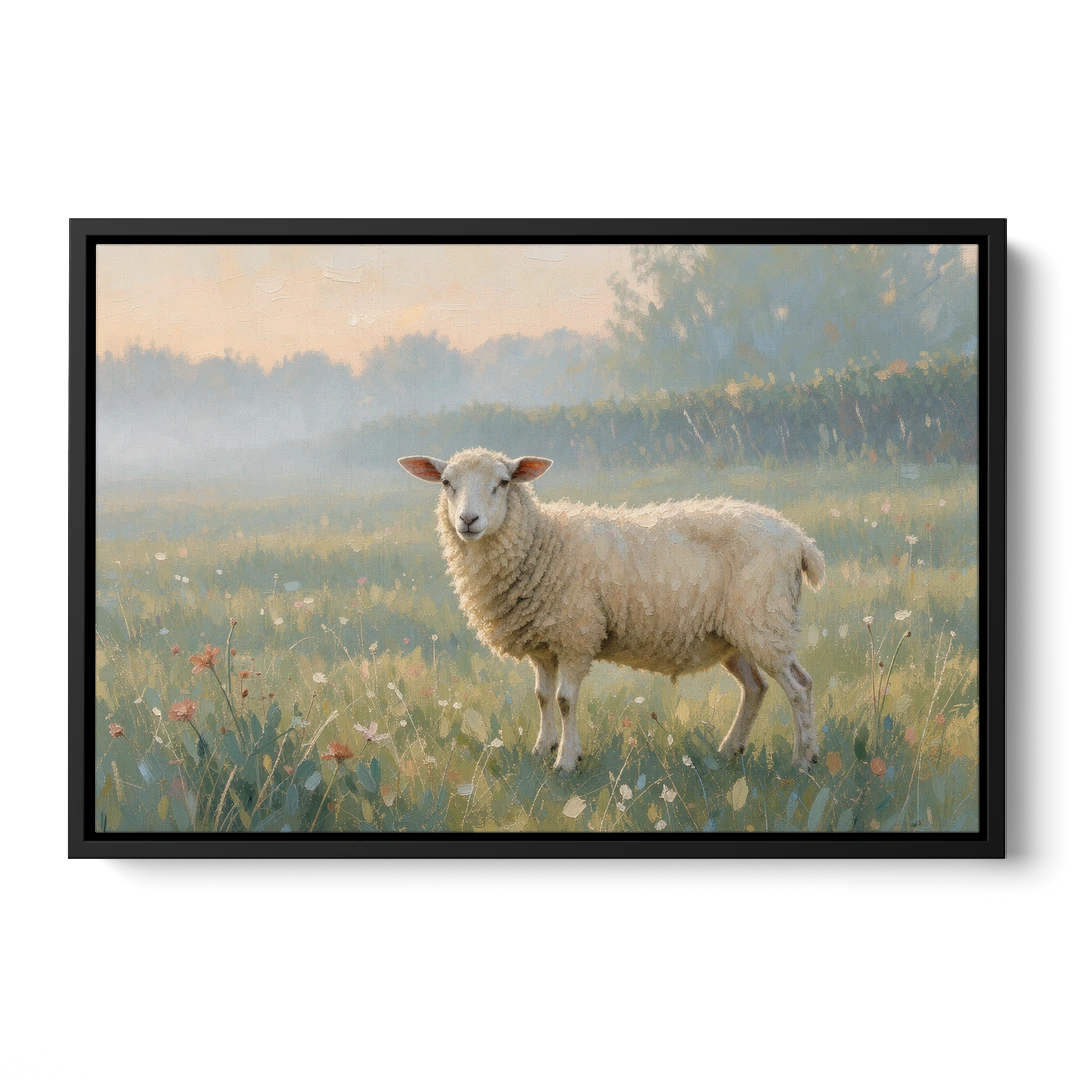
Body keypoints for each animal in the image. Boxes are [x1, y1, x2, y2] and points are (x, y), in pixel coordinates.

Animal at [399, 447, 825, 773]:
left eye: (503, 482)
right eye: (446, 483)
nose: (468, 520)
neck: (544, 541)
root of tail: (799, 538)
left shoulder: (576, 633)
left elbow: (565, 700)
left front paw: (566, 761)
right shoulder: (543, 642)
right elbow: (542, 696)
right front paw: (541, 750)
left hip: (764, 619)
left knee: (799, 687)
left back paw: (803, 761)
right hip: (734, 632)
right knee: (756, 686)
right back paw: (729, 751)